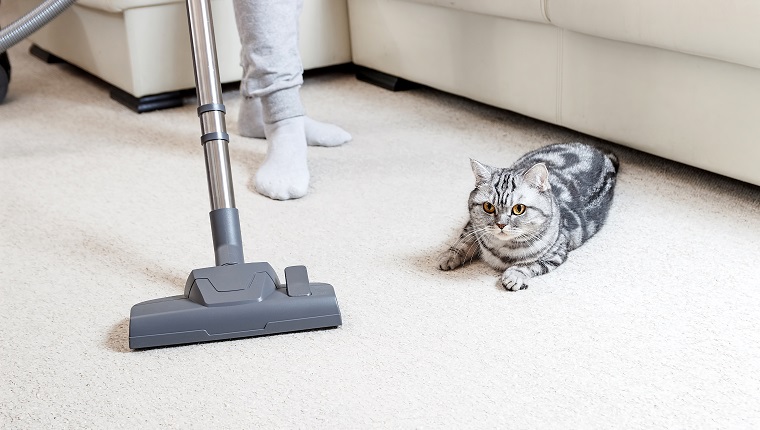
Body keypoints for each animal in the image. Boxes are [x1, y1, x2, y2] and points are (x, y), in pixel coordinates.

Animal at [436, 143, 620, 290]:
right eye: (488, 207)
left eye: (519, 209)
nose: (501, 224)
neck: (501, 248)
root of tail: (600, 153)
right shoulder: (473, 225)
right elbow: (464, 240)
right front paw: (448, 255)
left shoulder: (556, 252)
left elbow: (529, 264)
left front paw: (514, 275)